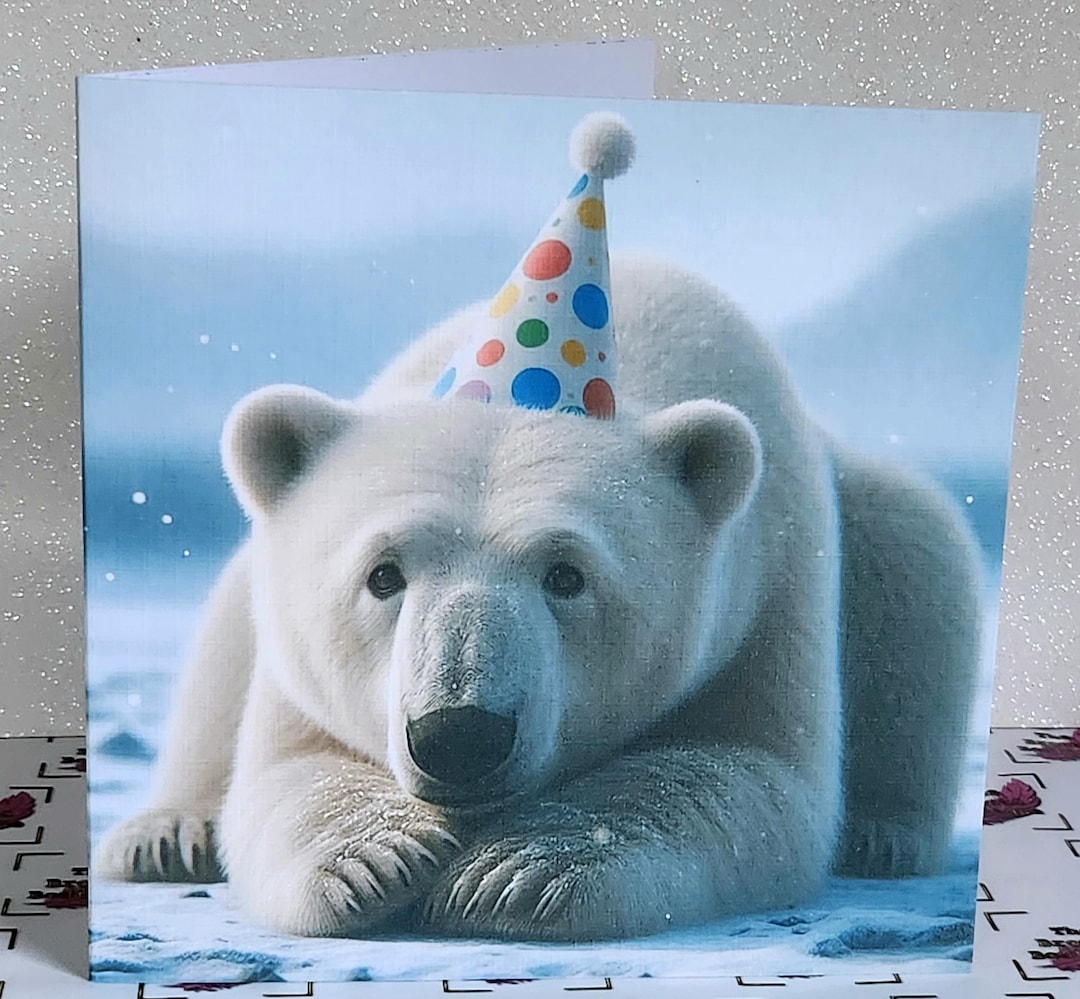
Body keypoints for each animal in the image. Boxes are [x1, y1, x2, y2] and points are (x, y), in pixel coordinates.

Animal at [95, 254, 981, 943]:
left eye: (566, 574)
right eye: (383, 573)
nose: (458, 734)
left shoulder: (768, 591)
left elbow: (742, 771)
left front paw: (511, 873)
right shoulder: (298, 657)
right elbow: (293, 772)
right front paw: (379, 858)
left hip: (875, 537)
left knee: (920, 566)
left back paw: (881, 834)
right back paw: (166, 834)